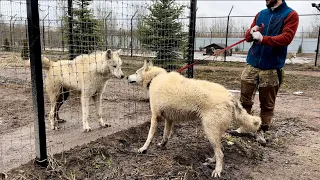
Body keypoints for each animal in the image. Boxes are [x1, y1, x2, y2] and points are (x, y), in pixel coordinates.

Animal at [126, 60, 262, 177]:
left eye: (136, 73)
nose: (127, 77)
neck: (155, 78)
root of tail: (230, 96)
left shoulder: (155, 117)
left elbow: (149, 137)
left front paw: (143, 149)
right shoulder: (169, 120)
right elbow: (165, 136)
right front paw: (162, 145)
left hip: (209, 131)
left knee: (221, 154)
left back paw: (217, 171)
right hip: (214, 134)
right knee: (220, 150)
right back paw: (211, 161)